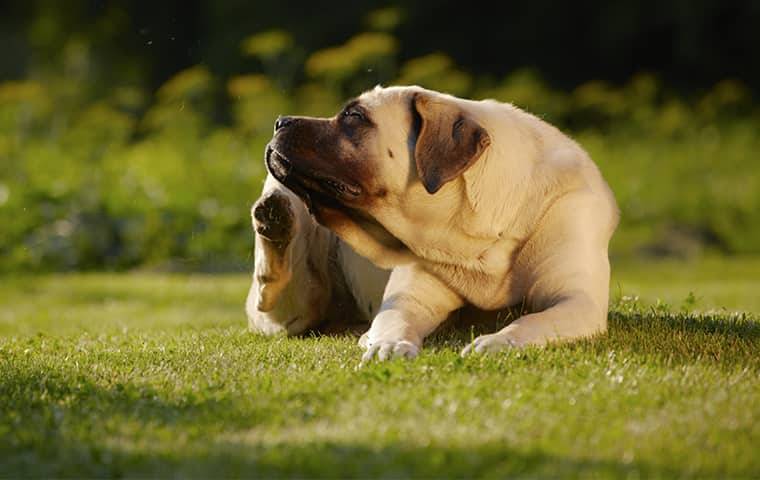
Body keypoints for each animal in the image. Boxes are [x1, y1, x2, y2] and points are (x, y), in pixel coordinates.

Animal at [246, 84, 620, 362]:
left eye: (354, 116)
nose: (280, 121)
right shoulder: (409, 299)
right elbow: (393, 320)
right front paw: (387, 344)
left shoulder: (576, 301)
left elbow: (530, 321)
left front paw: (498, 342)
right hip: (291, 303)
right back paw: (275, 218)